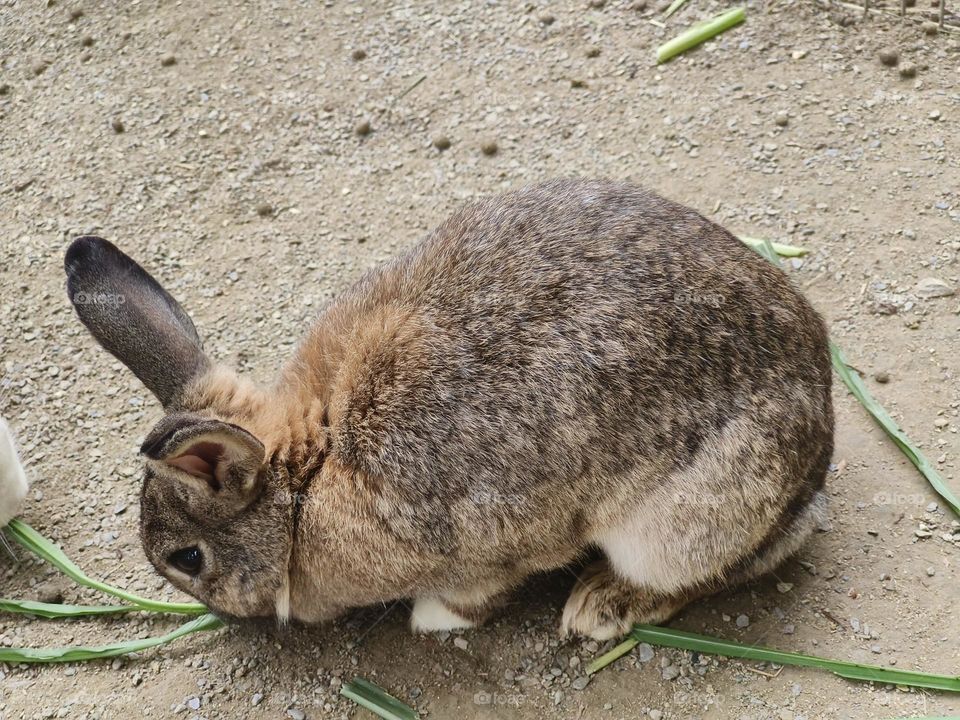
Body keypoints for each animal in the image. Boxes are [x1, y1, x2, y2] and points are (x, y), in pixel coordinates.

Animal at [64, 178, 833, 639]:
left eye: (187, 558)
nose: (222, 618)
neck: (305, 479)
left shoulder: (487, 548)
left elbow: (473, 591)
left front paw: (435, 619)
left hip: (678, 524)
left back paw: (599, 607)